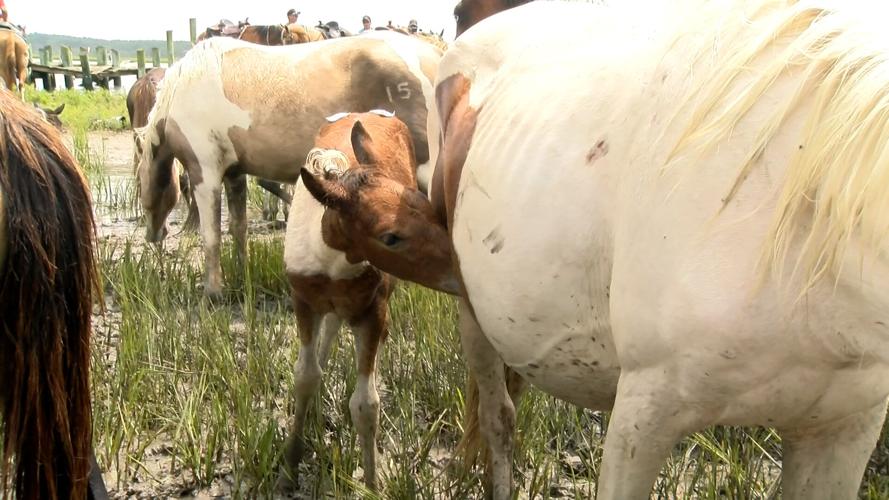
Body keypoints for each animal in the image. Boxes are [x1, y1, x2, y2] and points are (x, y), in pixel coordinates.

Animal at [136, 33, 442, 300]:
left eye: (139, 185)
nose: (154, 235)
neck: (184, 86)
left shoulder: (206, 174)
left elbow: (211, 235)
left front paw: (213, 293)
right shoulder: (234, 175)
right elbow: (238, 228)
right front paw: (241, 277)